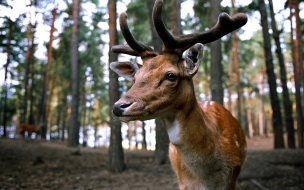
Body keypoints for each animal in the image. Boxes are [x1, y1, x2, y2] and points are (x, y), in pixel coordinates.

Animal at [109, 0, 247, 189]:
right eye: (135, 78)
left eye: (171, 75)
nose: (119, 106)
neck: (206, 178)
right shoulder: (183, 182)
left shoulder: (233, 177)